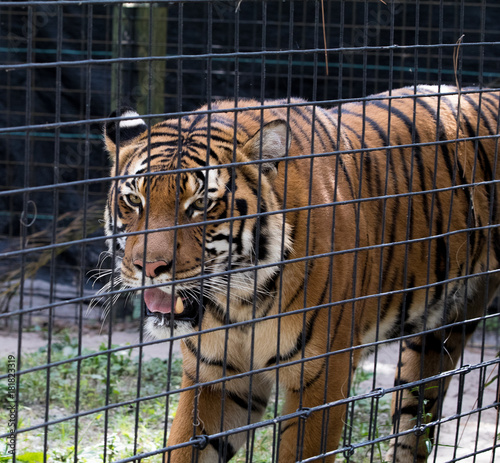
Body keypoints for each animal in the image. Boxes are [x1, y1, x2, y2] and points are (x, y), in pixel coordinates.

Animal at [100, 85, 500, 462]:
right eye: (134, 200)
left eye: (201, 204)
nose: (148, 267)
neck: (239, 300)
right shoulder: (216, 378)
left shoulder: (321, 378)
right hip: (435, 338)